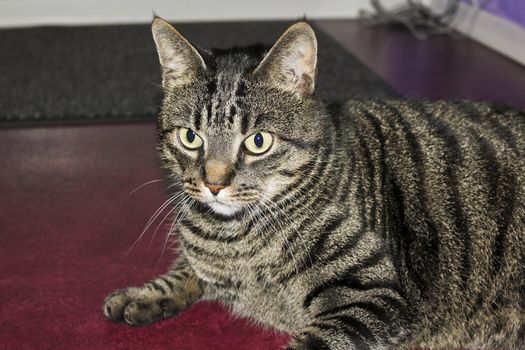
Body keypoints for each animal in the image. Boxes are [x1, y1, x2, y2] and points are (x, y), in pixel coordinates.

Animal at [103, 17, 524, 348]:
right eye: (191, 137)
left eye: (258, 141)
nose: (214, 184)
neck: (232, 238)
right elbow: (186, 268)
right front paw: (142, 295)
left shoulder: (372, 294)